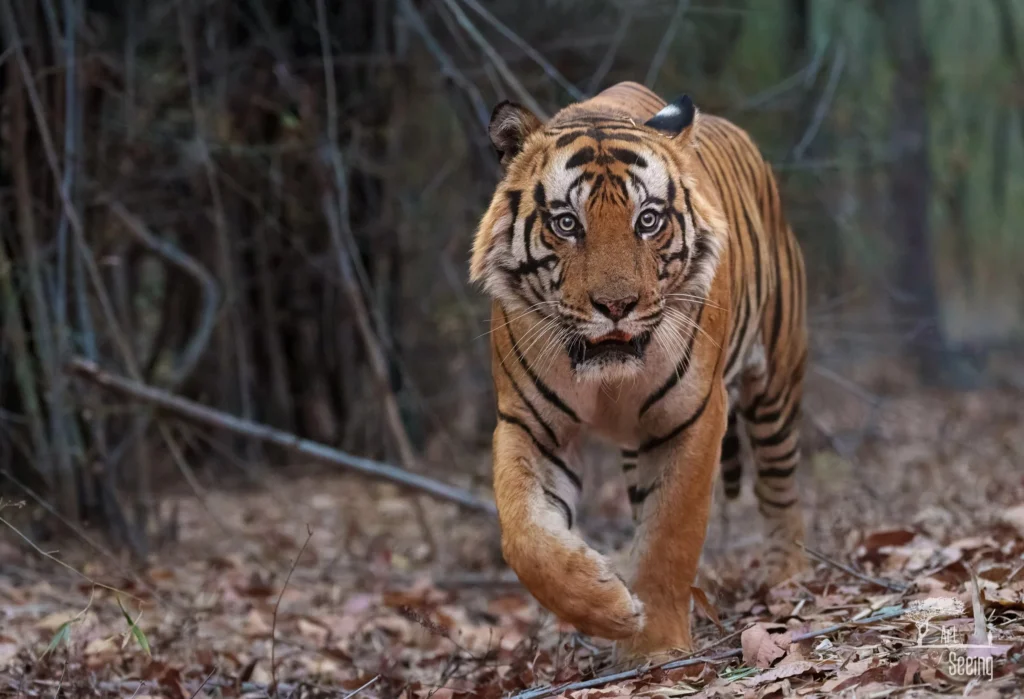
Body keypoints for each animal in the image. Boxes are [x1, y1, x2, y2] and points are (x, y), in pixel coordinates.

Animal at [468, 81, 808, 656]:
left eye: (647, 220)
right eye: (567, 224)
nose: (616, 305)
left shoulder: (693, 417)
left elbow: (671, 532)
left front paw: (657, 646)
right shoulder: (530, 424)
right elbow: (523, 534)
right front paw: (608, 606)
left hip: (775, 387)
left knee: (780, 489)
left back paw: (786, 578)